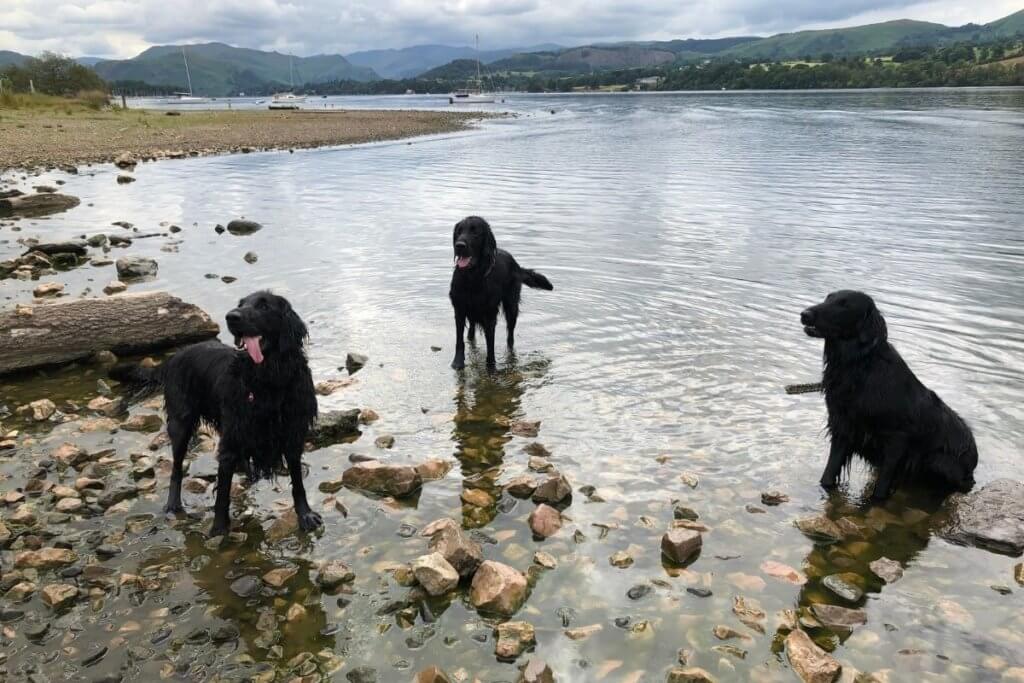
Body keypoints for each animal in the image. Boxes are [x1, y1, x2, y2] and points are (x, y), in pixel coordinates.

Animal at [108, 290, 319, 536]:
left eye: (264, 306)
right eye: (241, 304)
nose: (231, 316)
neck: (267, 379)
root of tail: (173, 358)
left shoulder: (293, 433)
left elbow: (298, 482)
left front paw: (305, 514)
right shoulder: (233, 435)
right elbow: (222, 494)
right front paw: (219, 530)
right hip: (181, 422)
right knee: (176, 469)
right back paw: (173, 504)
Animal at [452, 216, 557, 370]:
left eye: (475, 232)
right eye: (459, 232)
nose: (459, 245)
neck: (473, 278)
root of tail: (517, 265)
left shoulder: (490, 316)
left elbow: (490, 345)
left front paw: (491, 367)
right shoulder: (459, 310)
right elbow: (459, 340)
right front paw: (458, 362)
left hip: (511, 306)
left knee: (510, 336)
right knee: (471, 330)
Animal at [798, 290, 974, 501]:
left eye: (844, 305)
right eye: (828, 299)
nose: (805, 314)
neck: (858, 365)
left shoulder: (896, 440)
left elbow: (881, 490)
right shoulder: (842, 428)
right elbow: (828, 474)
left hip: (939, 461)